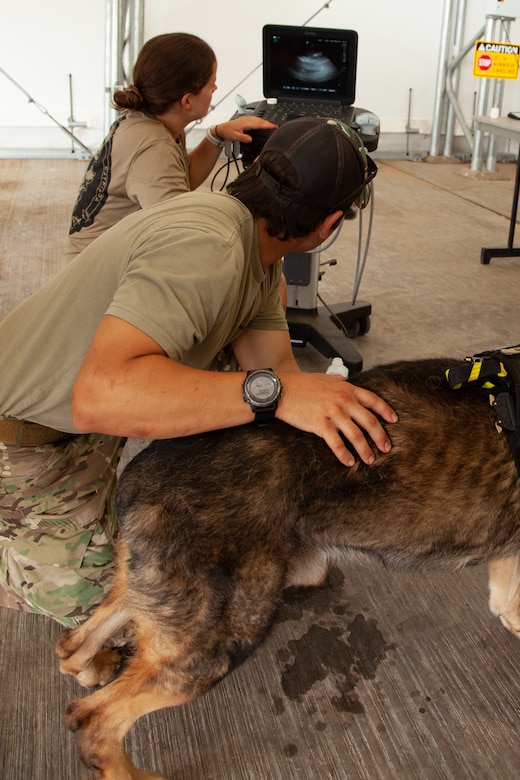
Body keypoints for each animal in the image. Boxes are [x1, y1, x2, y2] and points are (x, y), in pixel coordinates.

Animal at [55, 360, 520, 780]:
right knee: (93, 721)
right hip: (214, 642)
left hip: (155, 595)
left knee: (73, 647)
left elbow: (505, 599)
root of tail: (135, 476)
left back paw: (92, 665)